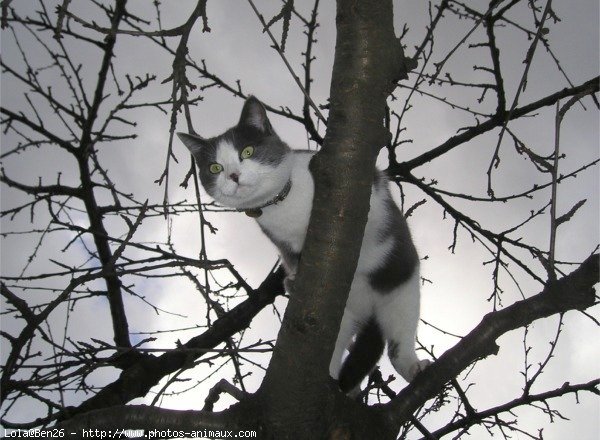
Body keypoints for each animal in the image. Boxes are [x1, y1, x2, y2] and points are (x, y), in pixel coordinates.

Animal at [176, 95, 428, 392]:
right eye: (215, 167)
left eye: (247, 152)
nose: (234, 176)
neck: (283, 203)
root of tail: (367, 312)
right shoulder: (281, 240)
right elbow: (292, 259)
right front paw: (293, 280)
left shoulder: (368, 192)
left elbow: (372, 213)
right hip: (339, 323)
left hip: (401, 289)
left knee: (399, 341)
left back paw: (414, 366)